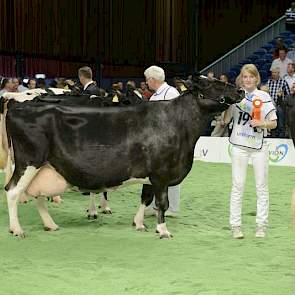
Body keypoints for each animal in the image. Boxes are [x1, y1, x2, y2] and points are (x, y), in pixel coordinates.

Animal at [4, 75, 245, 239]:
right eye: (215, 85)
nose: (242, 90)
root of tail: (19, 108)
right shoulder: (161, 173)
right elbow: (162, 203)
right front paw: (163, 230)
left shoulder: (151, 176)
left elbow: (145, 198)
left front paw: (139, 224)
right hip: (29, 162)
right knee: (13, 191)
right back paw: (17, 229)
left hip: (45, 166)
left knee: (37, 194)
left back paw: (50, 224)